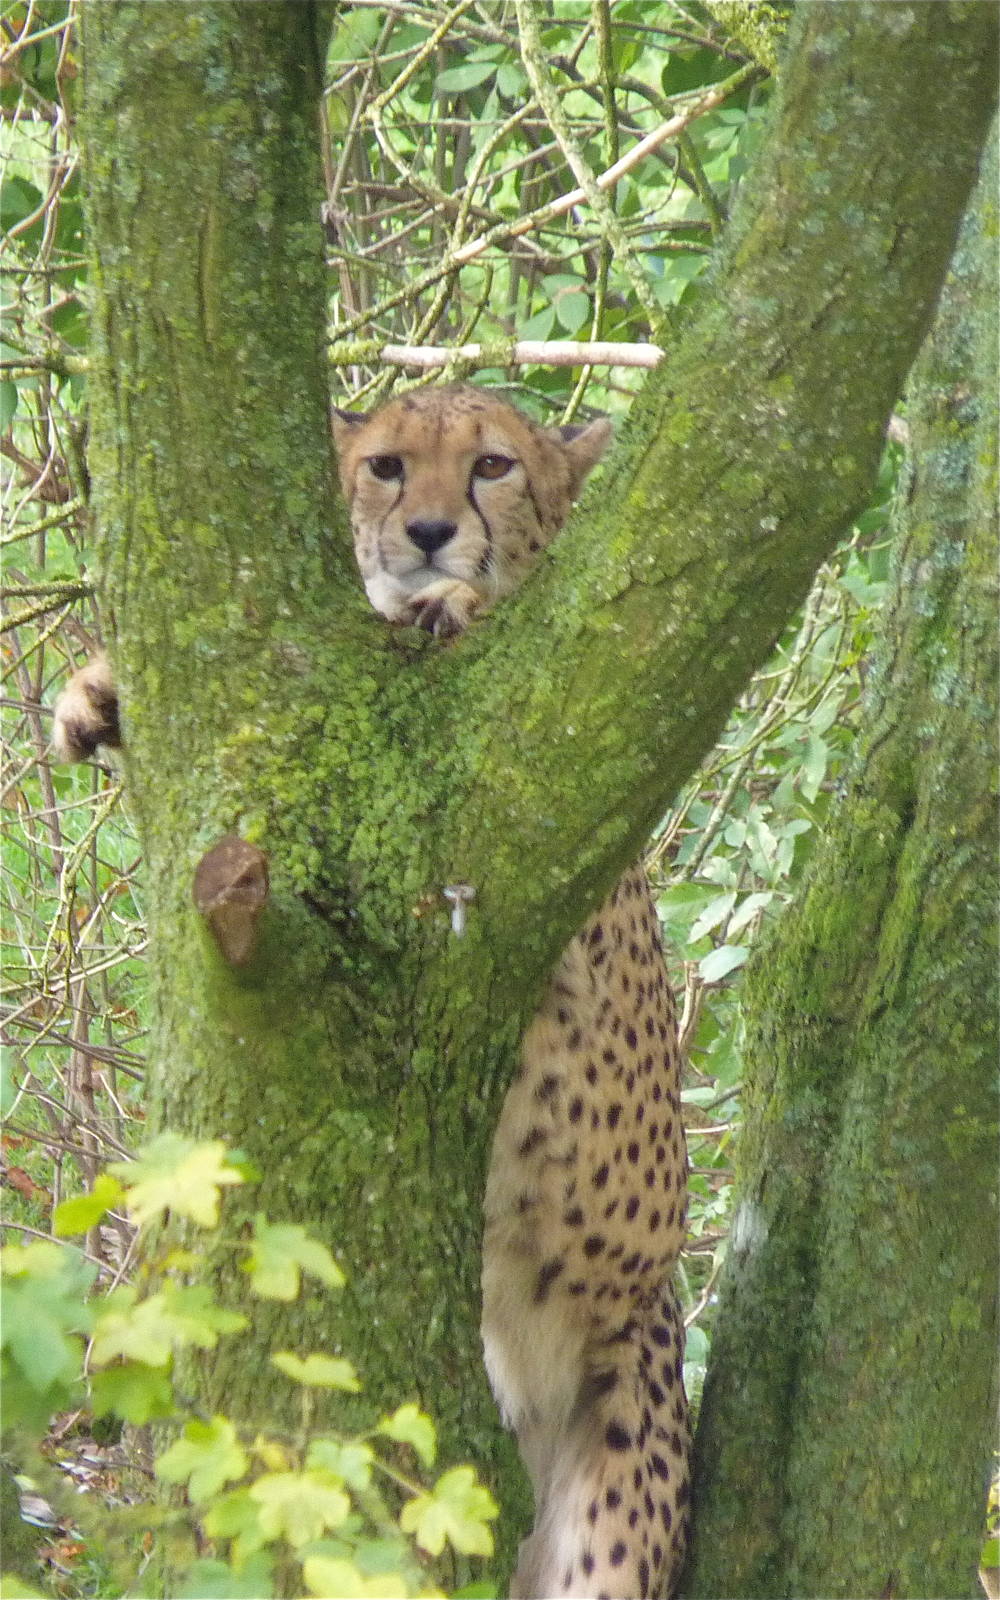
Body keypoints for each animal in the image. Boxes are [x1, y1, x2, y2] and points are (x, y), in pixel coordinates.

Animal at [53, 383, 692, 1600]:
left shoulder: (561, 890)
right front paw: (97, 690)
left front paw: (452, 601)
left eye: (492, 466)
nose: (431, 534)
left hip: (614, 1485)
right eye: (387, 466)